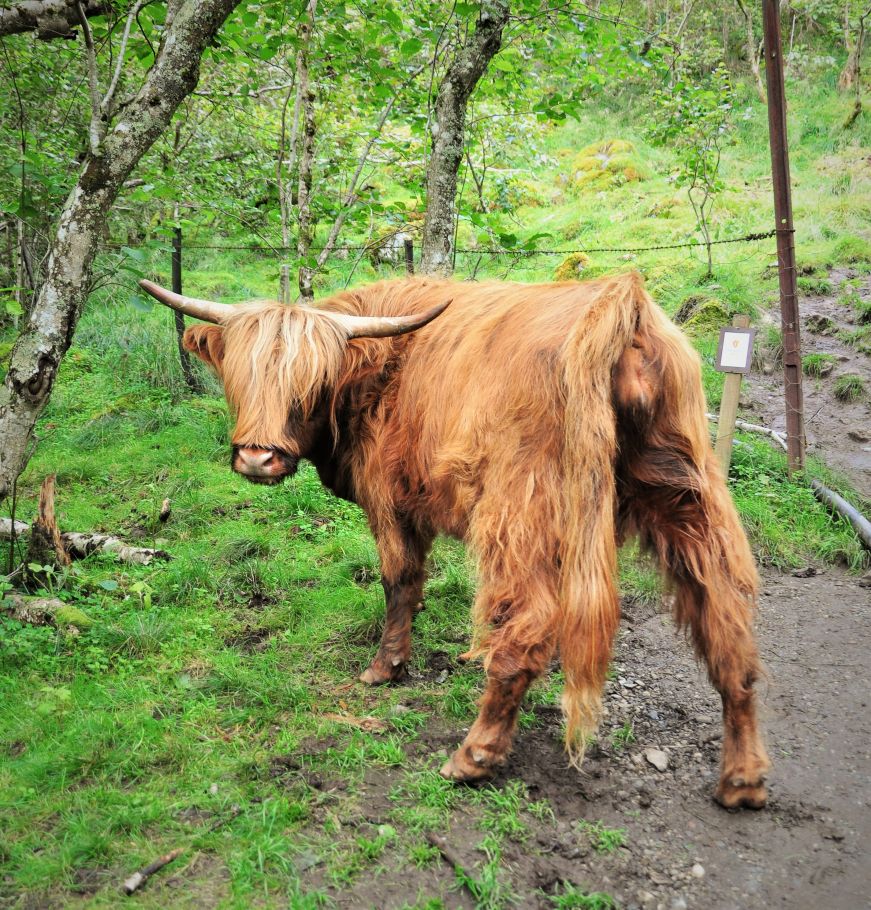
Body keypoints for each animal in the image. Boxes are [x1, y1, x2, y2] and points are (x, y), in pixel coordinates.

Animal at [138, 272, 768, 812]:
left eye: (310, 382)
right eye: (238, 376)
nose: (256, 457)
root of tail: (616, 300)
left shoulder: (389, 500)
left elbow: (399, 579)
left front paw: (386, 667)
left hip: (520, 509)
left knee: (529, 625)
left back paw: (474, 754)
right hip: (687, 493)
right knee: (727, 620)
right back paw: (743, 778)